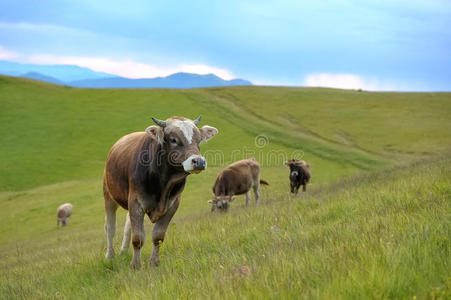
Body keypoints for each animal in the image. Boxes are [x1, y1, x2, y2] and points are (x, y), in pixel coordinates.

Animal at [105, 116, 220, 268]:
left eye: (199, 139)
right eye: (173, 140)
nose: (199, 161)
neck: (163, 183)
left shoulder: (173, 204)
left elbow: (158, 236)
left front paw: (154, 262)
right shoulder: (136, 202)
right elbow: (138, 238)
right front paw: (135, 265)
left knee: (127, 225)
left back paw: (123, 251)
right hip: (108, 194)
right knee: (110, 227)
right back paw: (110, 256)